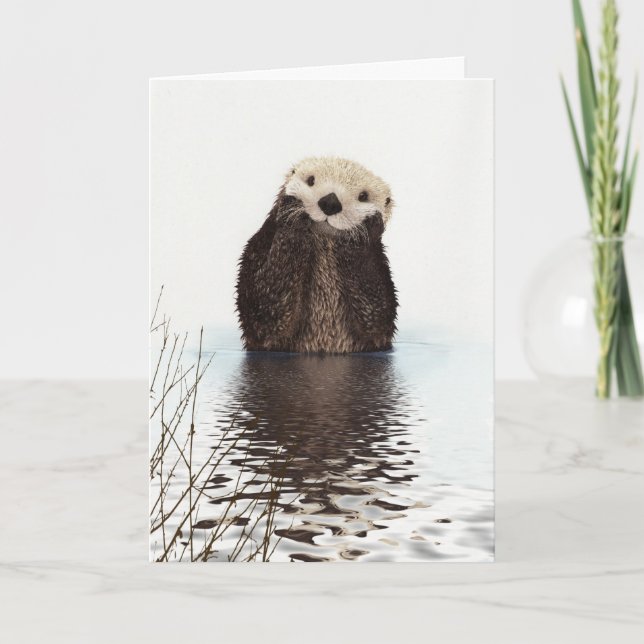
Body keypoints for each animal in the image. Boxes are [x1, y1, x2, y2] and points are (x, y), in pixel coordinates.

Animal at [236, 157, 397, 353]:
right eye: (311, 180)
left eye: (363, 196)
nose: (330, 202)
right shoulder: (258, 248)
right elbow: (264, 310)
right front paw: (292, 213)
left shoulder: (380, 269)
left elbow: (377, 316)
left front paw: (364, 229)